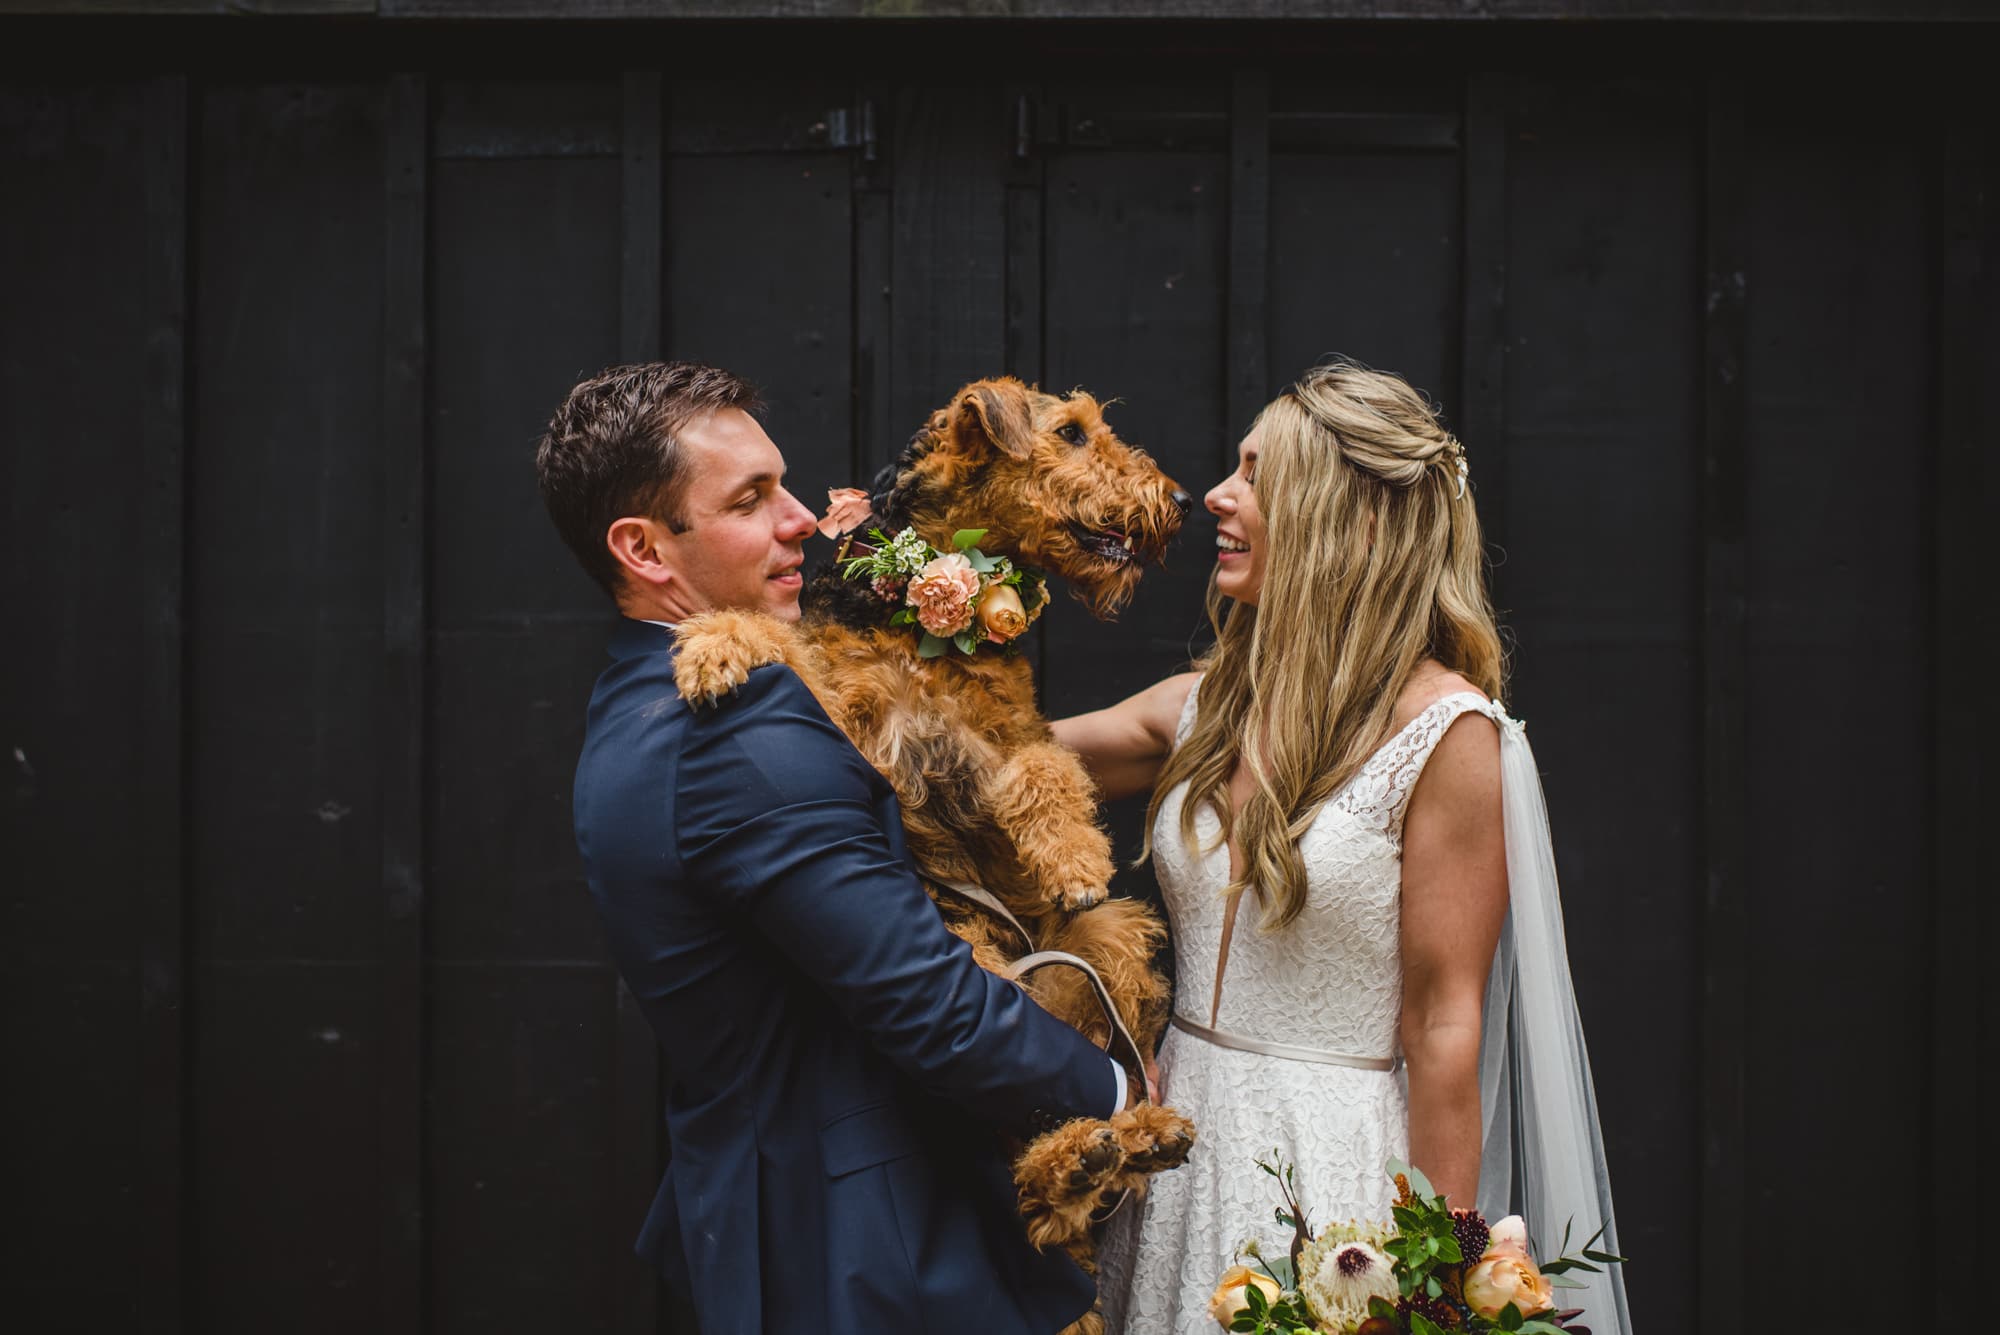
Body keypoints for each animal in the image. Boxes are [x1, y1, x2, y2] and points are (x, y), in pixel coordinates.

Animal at [540, 361, 1136, 1335]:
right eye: (1075, 432)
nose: (1176, 500)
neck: (917, 614)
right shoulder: (845, 717)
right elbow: (779, 640)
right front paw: (711, 648)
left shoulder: (1003, 739)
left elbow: (1046, 772)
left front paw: (1076, 860)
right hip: (976, 951)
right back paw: (1092, 1155)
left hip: (1106, 947)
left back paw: (1116, 1147)